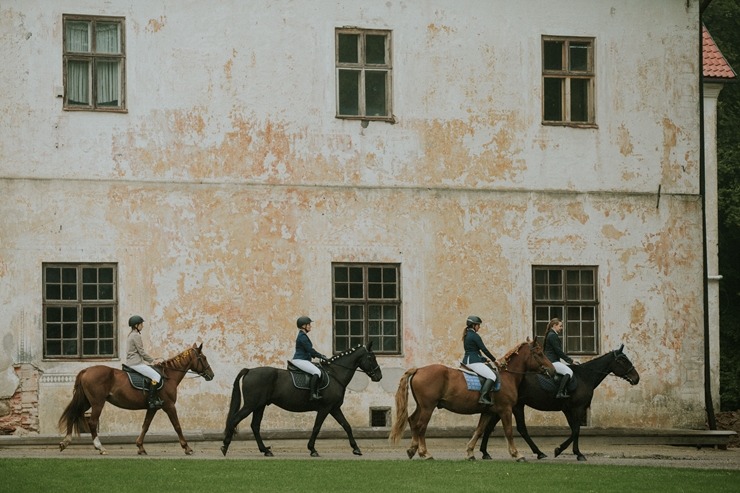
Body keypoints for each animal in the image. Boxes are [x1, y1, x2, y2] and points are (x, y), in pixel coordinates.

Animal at [57, 342, 214, 454]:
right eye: (204, 358)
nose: (211, 375)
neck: (169, 376)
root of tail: (86, 370)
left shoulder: (153, 407)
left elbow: (145, 425)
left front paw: (140, 447)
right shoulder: (169, 406)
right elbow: (177, 426)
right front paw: (187, 448)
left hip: (86, 402)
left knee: (73, 414)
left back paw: (65, 442)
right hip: (97, 403)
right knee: (92, 422)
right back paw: (99, 447)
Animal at [220, 342, 382, 458]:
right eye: (371, 358)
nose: (379, 376)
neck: (335, 374)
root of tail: (250, 370)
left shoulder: (334, 408)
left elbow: (346, 426)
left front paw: (356, 449)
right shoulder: (325, 408)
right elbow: (317, 427)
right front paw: (312, 449)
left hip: (260, 406)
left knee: (255, 426)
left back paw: (265, 450)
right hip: (251, 405)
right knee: (235, 420)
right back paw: (225, 447)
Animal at [390, 338, 552, 462]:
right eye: (539, 353)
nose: (552, 370)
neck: (507, 376)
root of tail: (418, 369)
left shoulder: (488, 412)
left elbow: (479, 431)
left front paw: (470, 453)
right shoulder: (505, 409)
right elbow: (508, 431)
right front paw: (517, 454)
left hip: (422, 406)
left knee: (412, 421)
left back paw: (412, 450)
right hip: (428, 407)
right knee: (421, 426)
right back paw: (425, 453)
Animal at [476, 342, 640, 462]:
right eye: (622, 360)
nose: (636, 378)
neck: (584, 377)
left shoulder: (569, 409)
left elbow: (574, 430)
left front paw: (576, 452)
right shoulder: (578, 408)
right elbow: (576, 430)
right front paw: (561, 450)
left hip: (506, 406)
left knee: (490, 427)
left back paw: (485, 452)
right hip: (515, 406)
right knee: (521, 429)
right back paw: (538, 452)